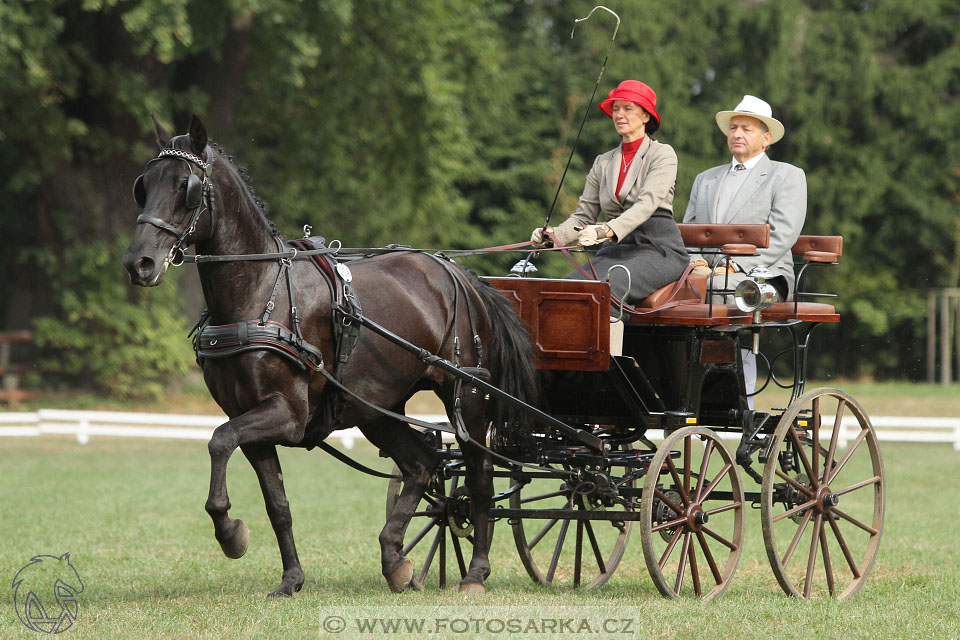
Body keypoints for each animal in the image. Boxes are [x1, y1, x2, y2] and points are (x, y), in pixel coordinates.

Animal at [122, 114, 540, 596]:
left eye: (185, 186)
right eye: (144, 184)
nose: (138, 263)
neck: (259, 293)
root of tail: (462, 274)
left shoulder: (286, 413)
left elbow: (219, 440)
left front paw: (231, 535)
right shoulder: (251, 419)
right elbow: (277, 504)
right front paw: (290, 578)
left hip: (467, 399)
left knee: (479, 479)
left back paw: (474, 574)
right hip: (376, 408)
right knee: (421, 464)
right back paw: (395, 560)